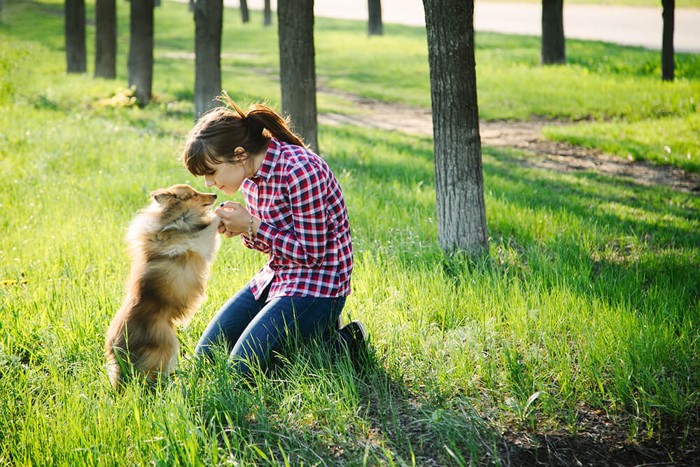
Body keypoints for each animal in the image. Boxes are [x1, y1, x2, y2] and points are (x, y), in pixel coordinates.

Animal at [104, 185, 221, 390]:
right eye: (193, 194)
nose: (214, 194)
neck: (176, 219)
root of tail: (118, 350)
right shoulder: (197, 244)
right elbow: (207, 230)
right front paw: (220, 213)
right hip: (168, 345)